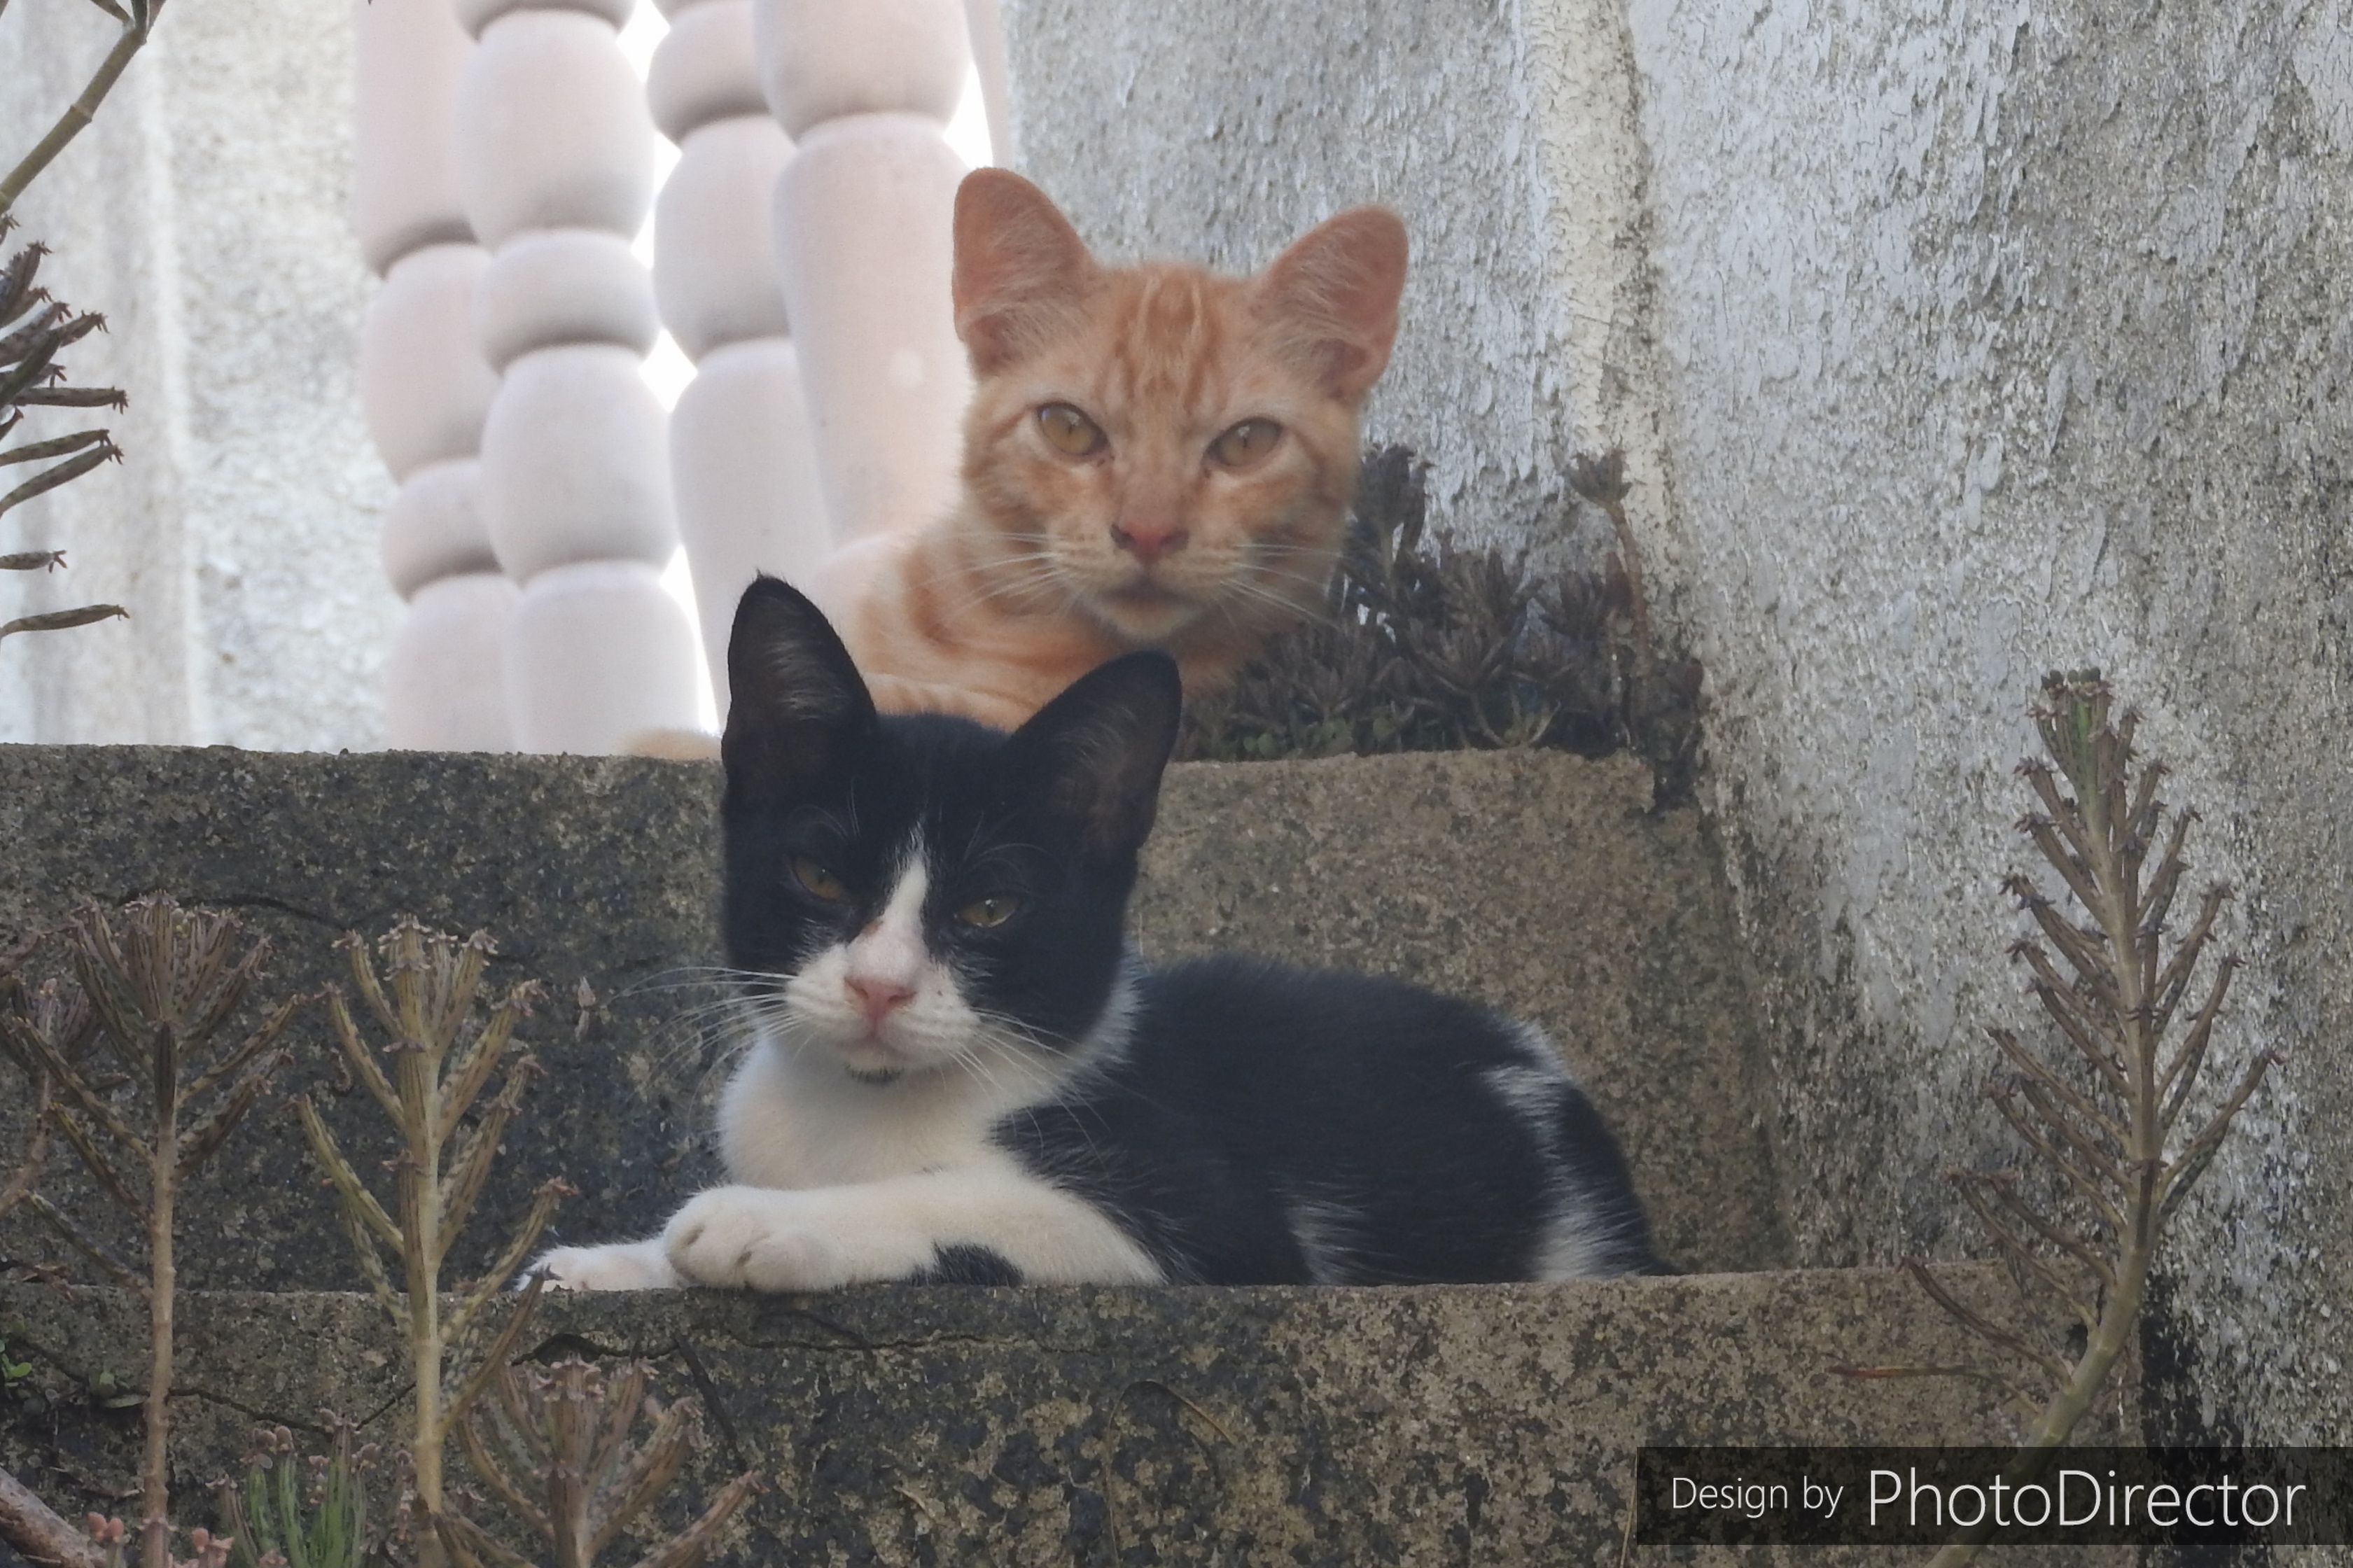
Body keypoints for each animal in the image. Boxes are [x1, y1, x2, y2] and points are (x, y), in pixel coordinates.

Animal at [541, 579, 1666, 1290]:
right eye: (818, 875)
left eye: (989, 908)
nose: (879, 985)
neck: (860, 1112)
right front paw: (604, 1265)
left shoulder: (1224, 1225)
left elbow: (965, 1200)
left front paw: (760, 1220)